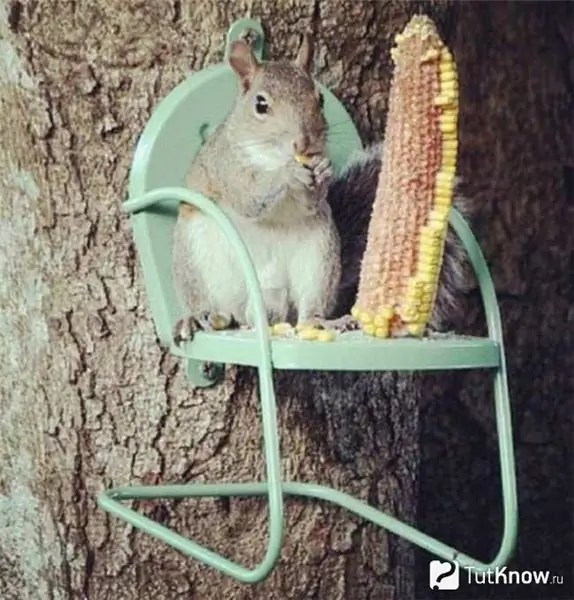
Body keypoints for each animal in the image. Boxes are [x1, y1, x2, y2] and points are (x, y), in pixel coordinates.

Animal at [173, 31, 470, 346]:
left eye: (320, 99)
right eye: (260, 105)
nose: (304, 143)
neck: (272, 155)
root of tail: (268, 306)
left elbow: (311, 202)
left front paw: (323, 171)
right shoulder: (226, 166)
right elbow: (249, 196)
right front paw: (287, 173)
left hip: (318, 257)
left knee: (308, 310)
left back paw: (323, 322)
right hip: (198, 255)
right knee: (214, 305)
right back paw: (200, 316)